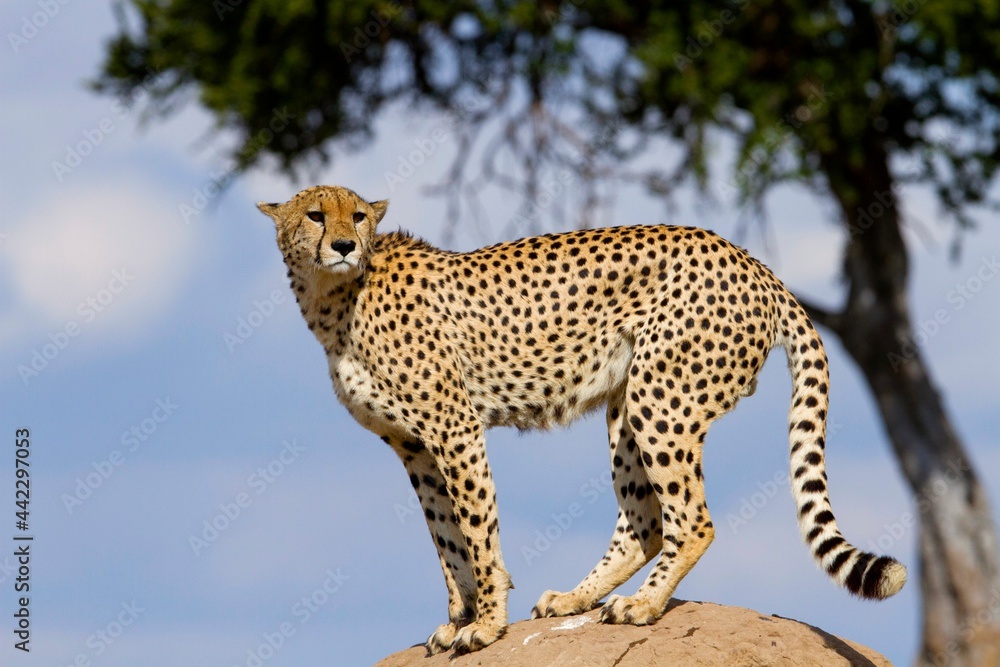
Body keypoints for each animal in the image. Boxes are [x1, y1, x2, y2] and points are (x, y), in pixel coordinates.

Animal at [256, 185, 907, 655]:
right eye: (315, 215)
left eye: (359, 216)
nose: (345, 245)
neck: (335, 298)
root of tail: (751, 260)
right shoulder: (413, 446)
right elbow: (445, 537)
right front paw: (458, 618)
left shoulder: (454, 429)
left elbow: (476, 530)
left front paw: (486, 624)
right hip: (628, 408)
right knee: (645, 522)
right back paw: (575, 599)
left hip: (660, 398)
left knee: (691, 520)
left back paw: (642, 606)